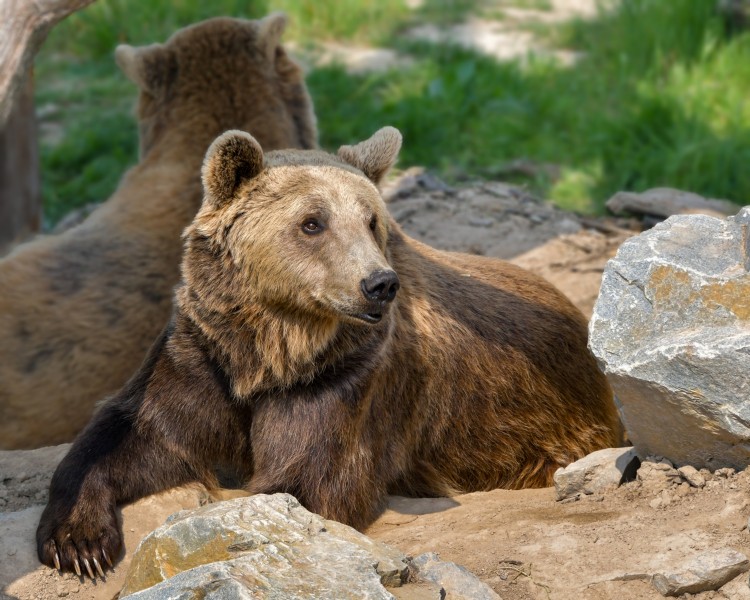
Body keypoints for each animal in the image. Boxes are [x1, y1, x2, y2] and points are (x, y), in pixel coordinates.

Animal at [36, 127, 624, 580]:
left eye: (371, 220)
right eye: (312, 222)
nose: (378, 284)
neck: (270, 349)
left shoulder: (344, 378)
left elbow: (306, 480)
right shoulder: (202, 356)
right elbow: (138, 432)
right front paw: (77, 543)